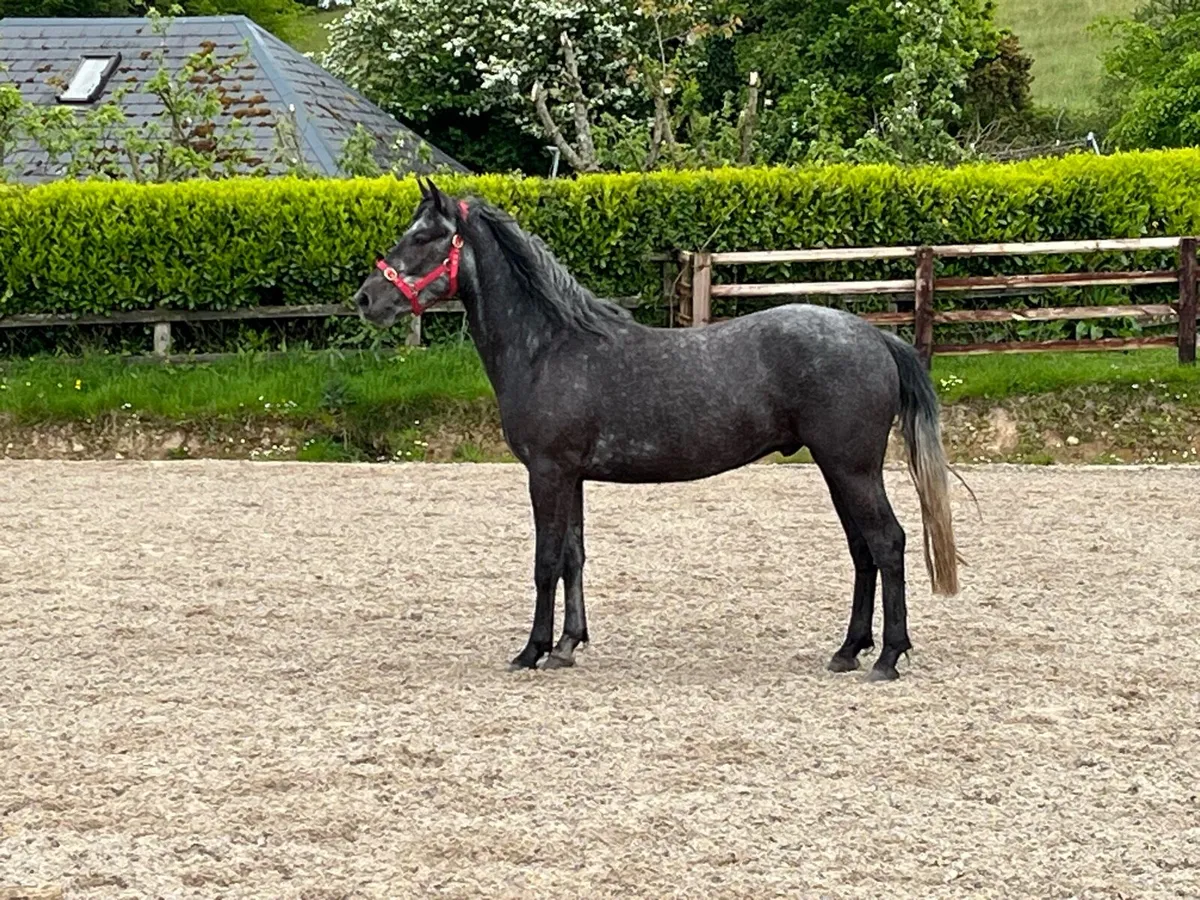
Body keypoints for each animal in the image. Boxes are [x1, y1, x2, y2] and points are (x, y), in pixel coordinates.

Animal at [352, 178, 961, 682]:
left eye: (423, 236)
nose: (365, 298)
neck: (549, 347)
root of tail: (875, 338)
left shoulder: (547, 473)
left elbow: (545, 562)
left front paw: (532, 650)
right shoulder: (572, 477)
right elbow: (573, 556)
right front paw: (568, 645)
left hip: (851, 468)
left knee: (887, 543)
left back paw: (887, 657)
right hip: (838, 470)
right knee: (863, 550)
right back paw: (848, 650)